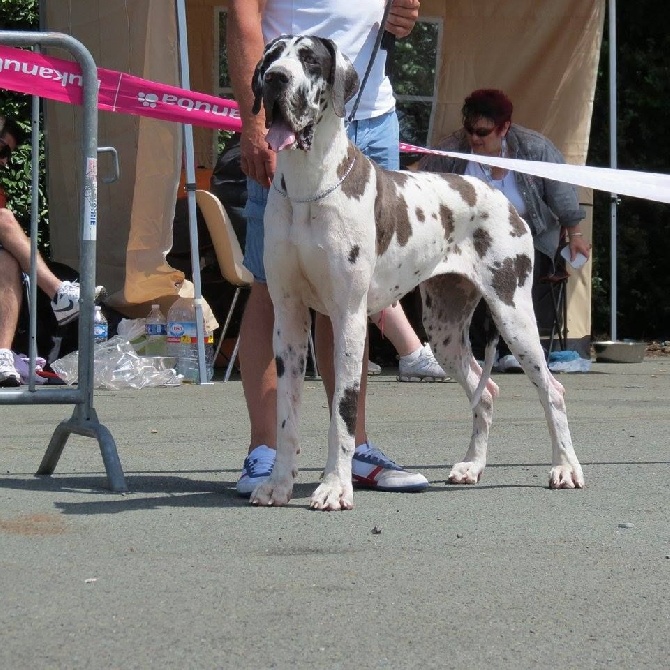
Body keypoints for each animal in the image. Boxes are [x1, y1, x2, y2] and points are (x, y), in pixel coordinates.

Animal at [249, 35, 584, 510]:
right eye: (271, 58)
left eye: (310, 60)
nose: (277, 79)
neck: (307, 187)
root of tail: (498, 194)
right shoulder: (289, 320)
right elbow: (286, 413)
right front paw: (278, 484)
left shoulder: (348, 318)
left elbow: (343, 410)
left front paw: (334, 487)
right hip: (443, 331)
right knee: (487, 393)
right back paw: (472, 466)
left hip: (515, 316)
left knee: (552, 391)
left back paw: (565, 468)